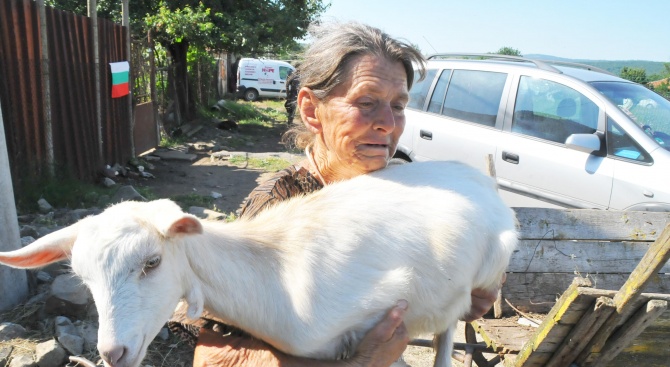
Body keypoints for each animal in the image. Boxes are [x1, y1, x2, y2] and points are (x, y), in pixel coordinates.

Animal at [0, 162, 520, 367]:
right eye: (84, 280)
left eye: (152, 262)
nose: (113, 353)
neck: (269, 276)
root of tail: (476, 173)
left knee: (450, 330)